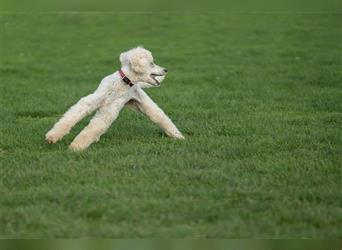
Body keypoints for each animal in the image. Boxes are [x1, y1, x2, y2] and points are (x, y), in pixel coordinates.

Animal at [46, 46, 184, 151]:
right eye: (152, 63)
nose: (166, 70)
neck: (123, 82)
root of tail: (137, 84)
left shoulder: (108, 111)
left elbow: (94, 126)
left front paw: (76, 146)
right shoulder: (90, 102)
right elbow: (71, 117)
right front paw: (52, 137)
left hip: (144, 104)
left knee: (160, 117)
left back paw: (178, 136)